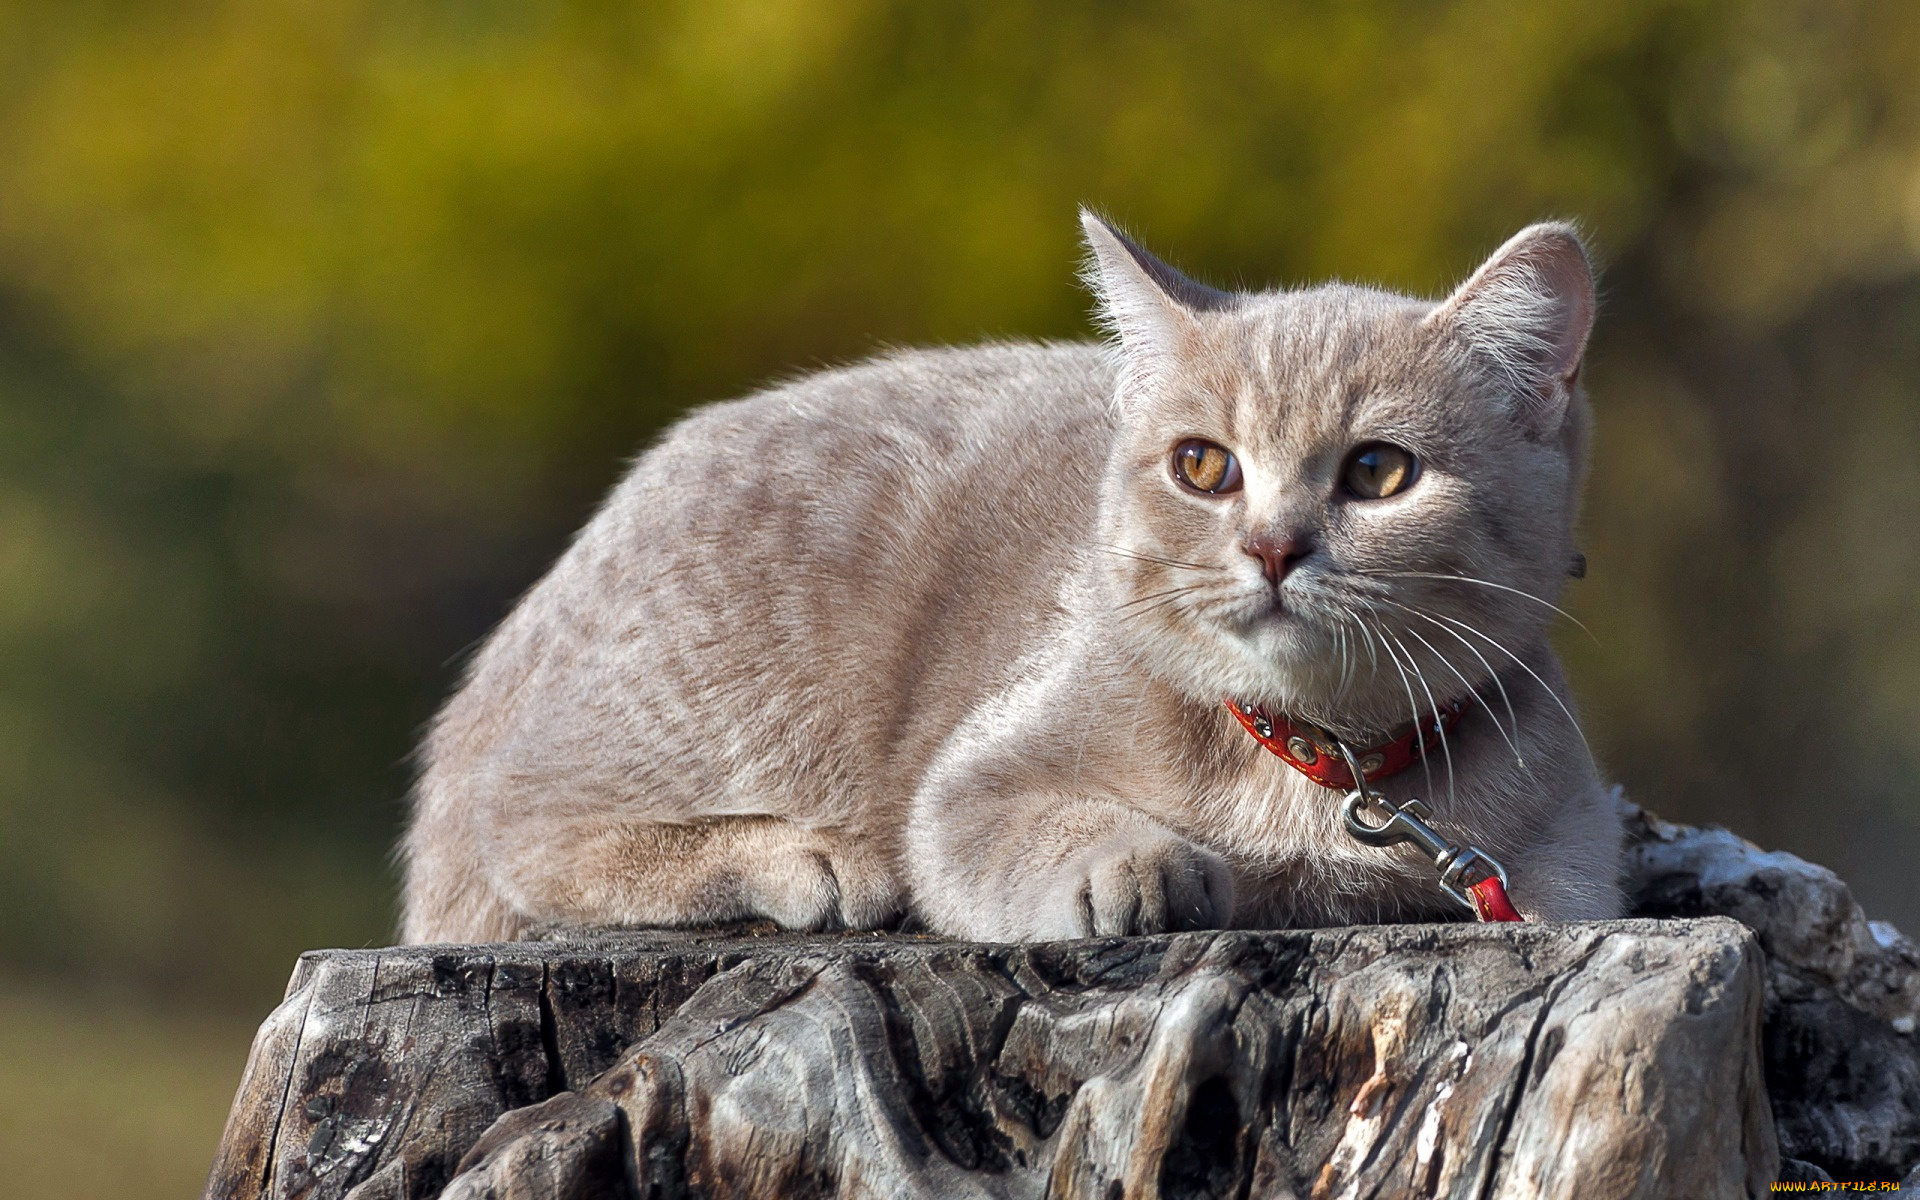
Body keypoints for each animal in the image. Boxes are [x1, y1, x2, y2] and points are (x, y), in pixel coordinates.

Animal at [401, 213, 1620, 944]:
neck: (1319, 769)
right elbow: (1013, 823)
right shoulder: (969, 784)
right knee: (517, 816)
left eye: (1377, 472)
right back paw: (805, 856)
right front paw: (1134, 864)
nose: (1273, 546)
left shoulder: (1567, 855)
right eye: (1204, 466)